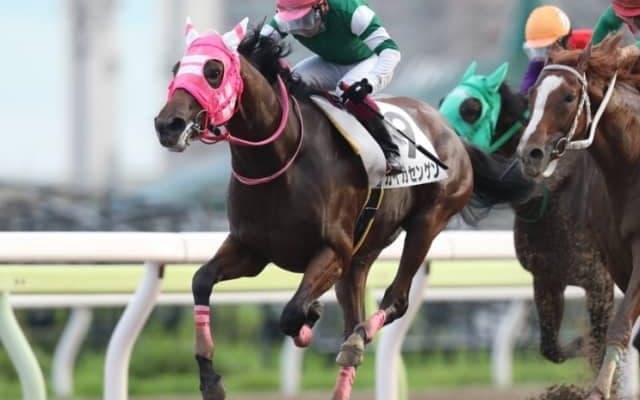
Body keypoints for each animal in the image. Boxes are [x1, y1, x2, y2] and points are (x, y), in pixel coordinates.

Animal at [153, 19, 533, 400]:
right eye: (175, 69)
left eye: (213, 71)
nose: (167, 125)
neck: (281, 159)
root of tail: (451, 132)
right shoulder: (252, 248)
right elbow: (202, 280)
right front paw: (210, 380)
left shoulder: (333, 250)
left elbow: (291, 313)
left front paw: (310, 318)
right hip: (363, 253)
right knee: (356, 312)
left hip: (428, 221)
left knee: (394, 302)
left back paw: (356, 339)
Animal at [439, 62, 614, 370]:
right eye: (441, 102)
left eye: (471, 109)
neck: (555, 193)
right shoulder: (546, 279)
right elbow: (552, 349)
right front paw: (578, 343)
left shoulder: (599, 283)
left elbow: (598, 351)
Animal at [517, 33, 640, 399]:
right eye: (531, 95)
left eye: (569, 97)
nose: (530, 154)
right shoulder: (614, 258)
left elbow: (618, 326)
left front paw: (598, 390)